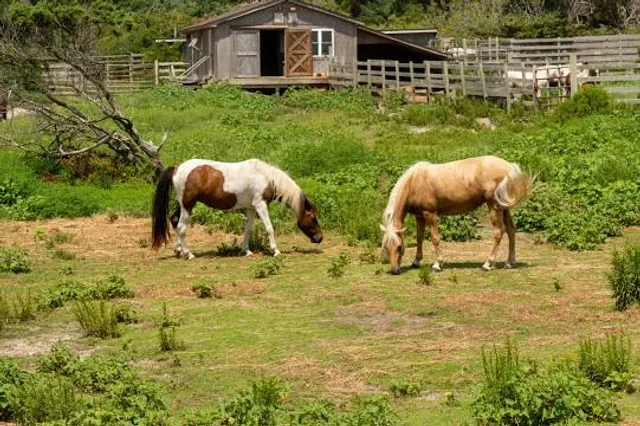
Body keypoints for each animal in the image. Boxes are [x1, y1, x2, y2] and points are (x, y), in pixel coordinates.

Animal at [151, 158, 323, 259]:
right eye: (313, 218)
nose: (320, 238)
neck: (266, 177)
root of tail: (177, 168)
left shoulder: (251, 208)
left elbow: (247, 230)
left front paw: (246, 251)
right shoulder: (260, 205)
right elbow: (269, 228)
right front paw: (276, 251)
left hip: (183, 205)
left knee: (174, 221)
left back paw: (178, 251)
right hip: (188, 205)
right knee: (181, 227)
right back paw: (189, 254)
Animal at [380, 156, 535, 275]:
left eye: (399, 247)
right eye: (386, 247)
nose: (395, 270)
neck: (414, 182)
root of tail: (509, 167)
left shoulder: (430, 214)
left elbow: (435, 238)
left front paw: (437, 265)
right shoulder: (419, 216)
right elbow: (419, 238)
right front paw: (416, 261)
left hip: (494, 206)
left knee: (498, 232)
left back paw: (487, 264)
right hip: (503, 207)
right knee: (511, 230)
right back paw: (510, 262)